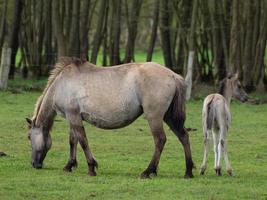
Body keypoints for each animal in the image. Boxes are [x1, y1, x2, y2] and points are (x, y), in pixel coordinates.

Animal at [26, 57, 195, 178]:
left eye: (28, 137)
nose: (34, 164)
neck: (61, 84)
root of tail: (173, 75)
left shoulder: (73, 117)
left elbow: (83, 141)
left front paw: (91, 167)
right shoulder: (72, 117)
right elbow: (73, 141)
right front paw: (69, 165)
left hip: (155, 117)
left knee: (160, 140)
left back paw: (148, 171)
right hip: (169, 117)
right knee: (183, 136)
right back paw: (188, 172)